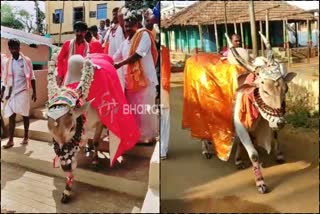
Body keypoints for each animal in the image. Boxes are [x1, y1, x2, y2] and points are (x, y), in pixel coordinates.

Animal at [47, 49, 139, 203]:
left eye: (72, 128)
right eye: (52, 133)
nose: (65, 166)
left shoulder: (100, 123)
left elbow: (96, 142)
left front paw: (95, 162)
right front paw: (67, 190)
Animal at [182, 32, 298, 194]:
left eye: (285, 89)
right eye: (265, 91)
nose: (280, 122)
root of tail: (195, 56)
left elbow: (248, 142)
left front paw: (239, 159)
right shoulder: (241, 125)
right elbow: (253, 154)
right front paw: (260, 182)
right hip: (197, 112)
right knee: (201, 131)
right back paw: (205, 149)